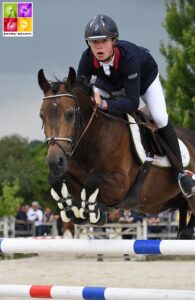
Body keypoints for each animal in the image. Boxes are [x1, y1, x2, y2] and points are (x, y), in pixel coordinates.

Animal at [37, 67, 195, 238]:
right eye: (42, 115)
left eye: (70, 114)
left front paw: (93, 211)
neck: (93, 140)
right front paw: (70, 209)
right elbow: (55, 179)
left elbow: (92, 181)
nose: (55, 162)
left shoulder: (119, 185)